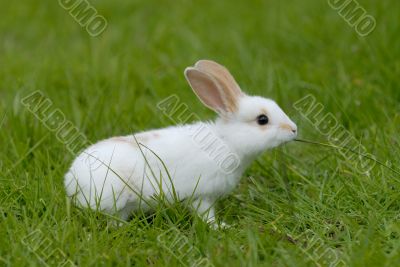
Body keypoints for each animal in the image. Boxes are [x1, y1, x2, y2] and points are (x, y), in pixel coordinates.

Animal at [64, 59, 296, 227]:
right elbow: (206, 216)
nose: (294, 129)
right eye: (262, 120)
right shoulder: (202, 196)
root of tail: (71, 179)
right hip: (115, 200)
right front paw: (221, 227)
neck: (227, 141)